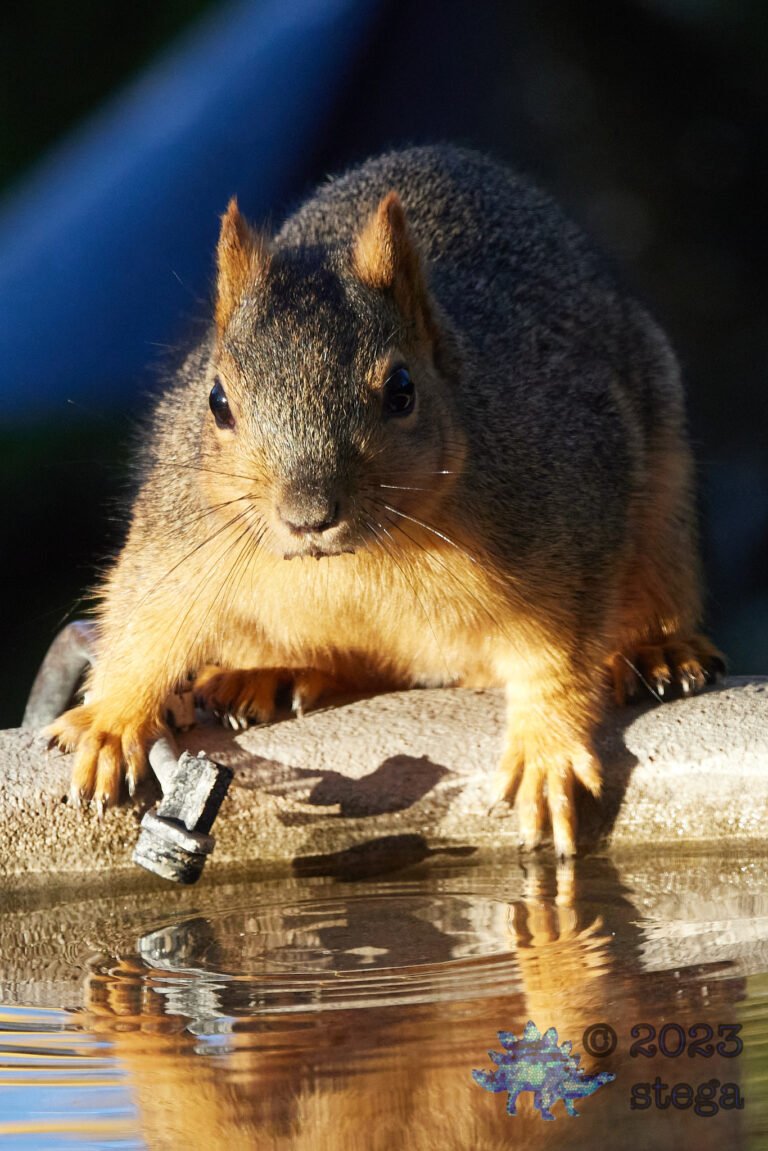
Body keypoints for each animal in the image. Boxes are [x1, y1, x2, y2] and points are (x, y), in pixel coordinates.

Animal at [45, 144, 723, 855]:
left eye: (402, 390)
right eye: (217, 401)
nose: (308, 515)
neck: (365, 556)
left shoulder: (574, 495)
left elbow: (560, 650)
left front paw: (548, 750)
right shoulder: (183, 527)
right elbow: (147, 612)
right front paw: (113, 721)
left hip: (665, 499)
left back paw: (655, 651)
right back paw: (273, 673)